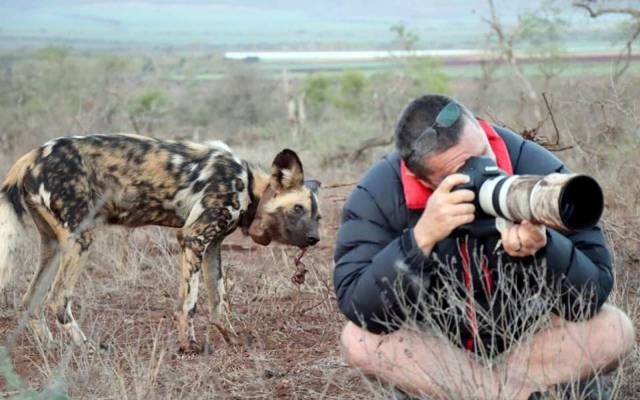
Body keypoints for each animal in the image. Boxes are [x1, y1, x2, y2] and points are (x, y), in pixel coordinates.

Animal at [0, 134, 320, 354]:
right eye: (297, 209)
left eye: (317, 217)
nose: (315, 239)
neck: (249, 185)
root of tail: (30, 156)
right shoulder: (192, 238)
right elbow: (189, 303)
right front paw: (188, 346)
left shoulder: (212, 247)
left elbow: (220, 302)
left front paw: (231, 337)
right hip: (81, 237)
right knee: (58, 301)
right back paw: (87, 346)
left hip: (53, 246)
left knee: (30, 300)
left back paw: (49, 347)